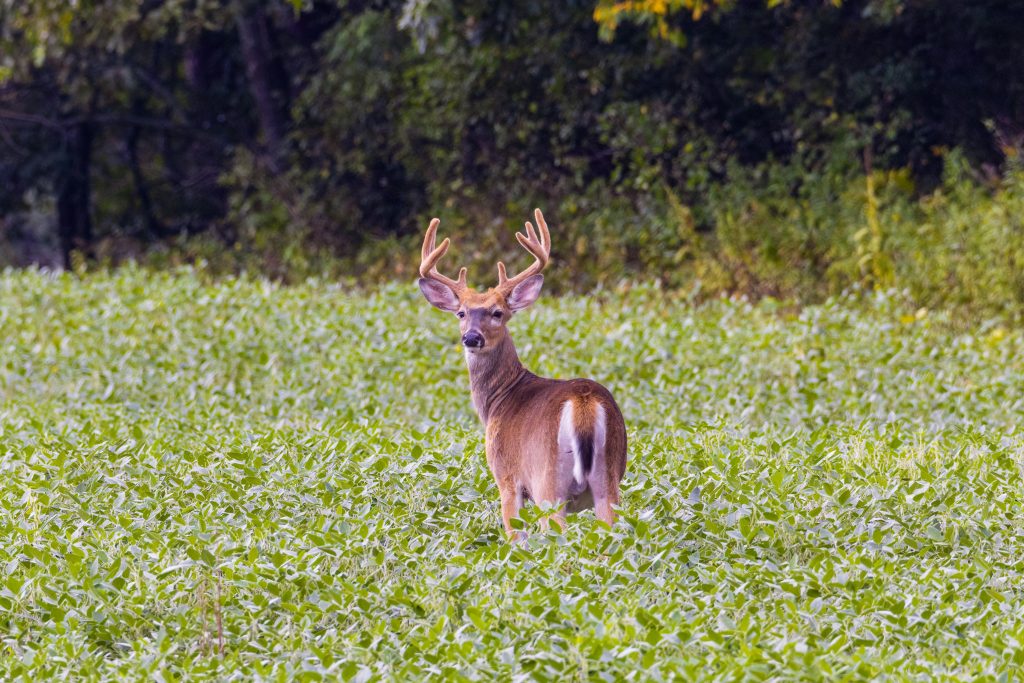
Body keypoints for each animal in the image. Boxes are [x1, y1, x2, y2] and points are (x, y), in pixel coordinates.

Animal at [413, 208, 622, 540]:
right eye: (461, 313)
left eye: (497, 312)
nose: (471, 338)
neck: (498, 399)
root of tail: (583, 403)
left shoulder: (507, 477)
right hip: (609, 479)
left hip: (548, 480)